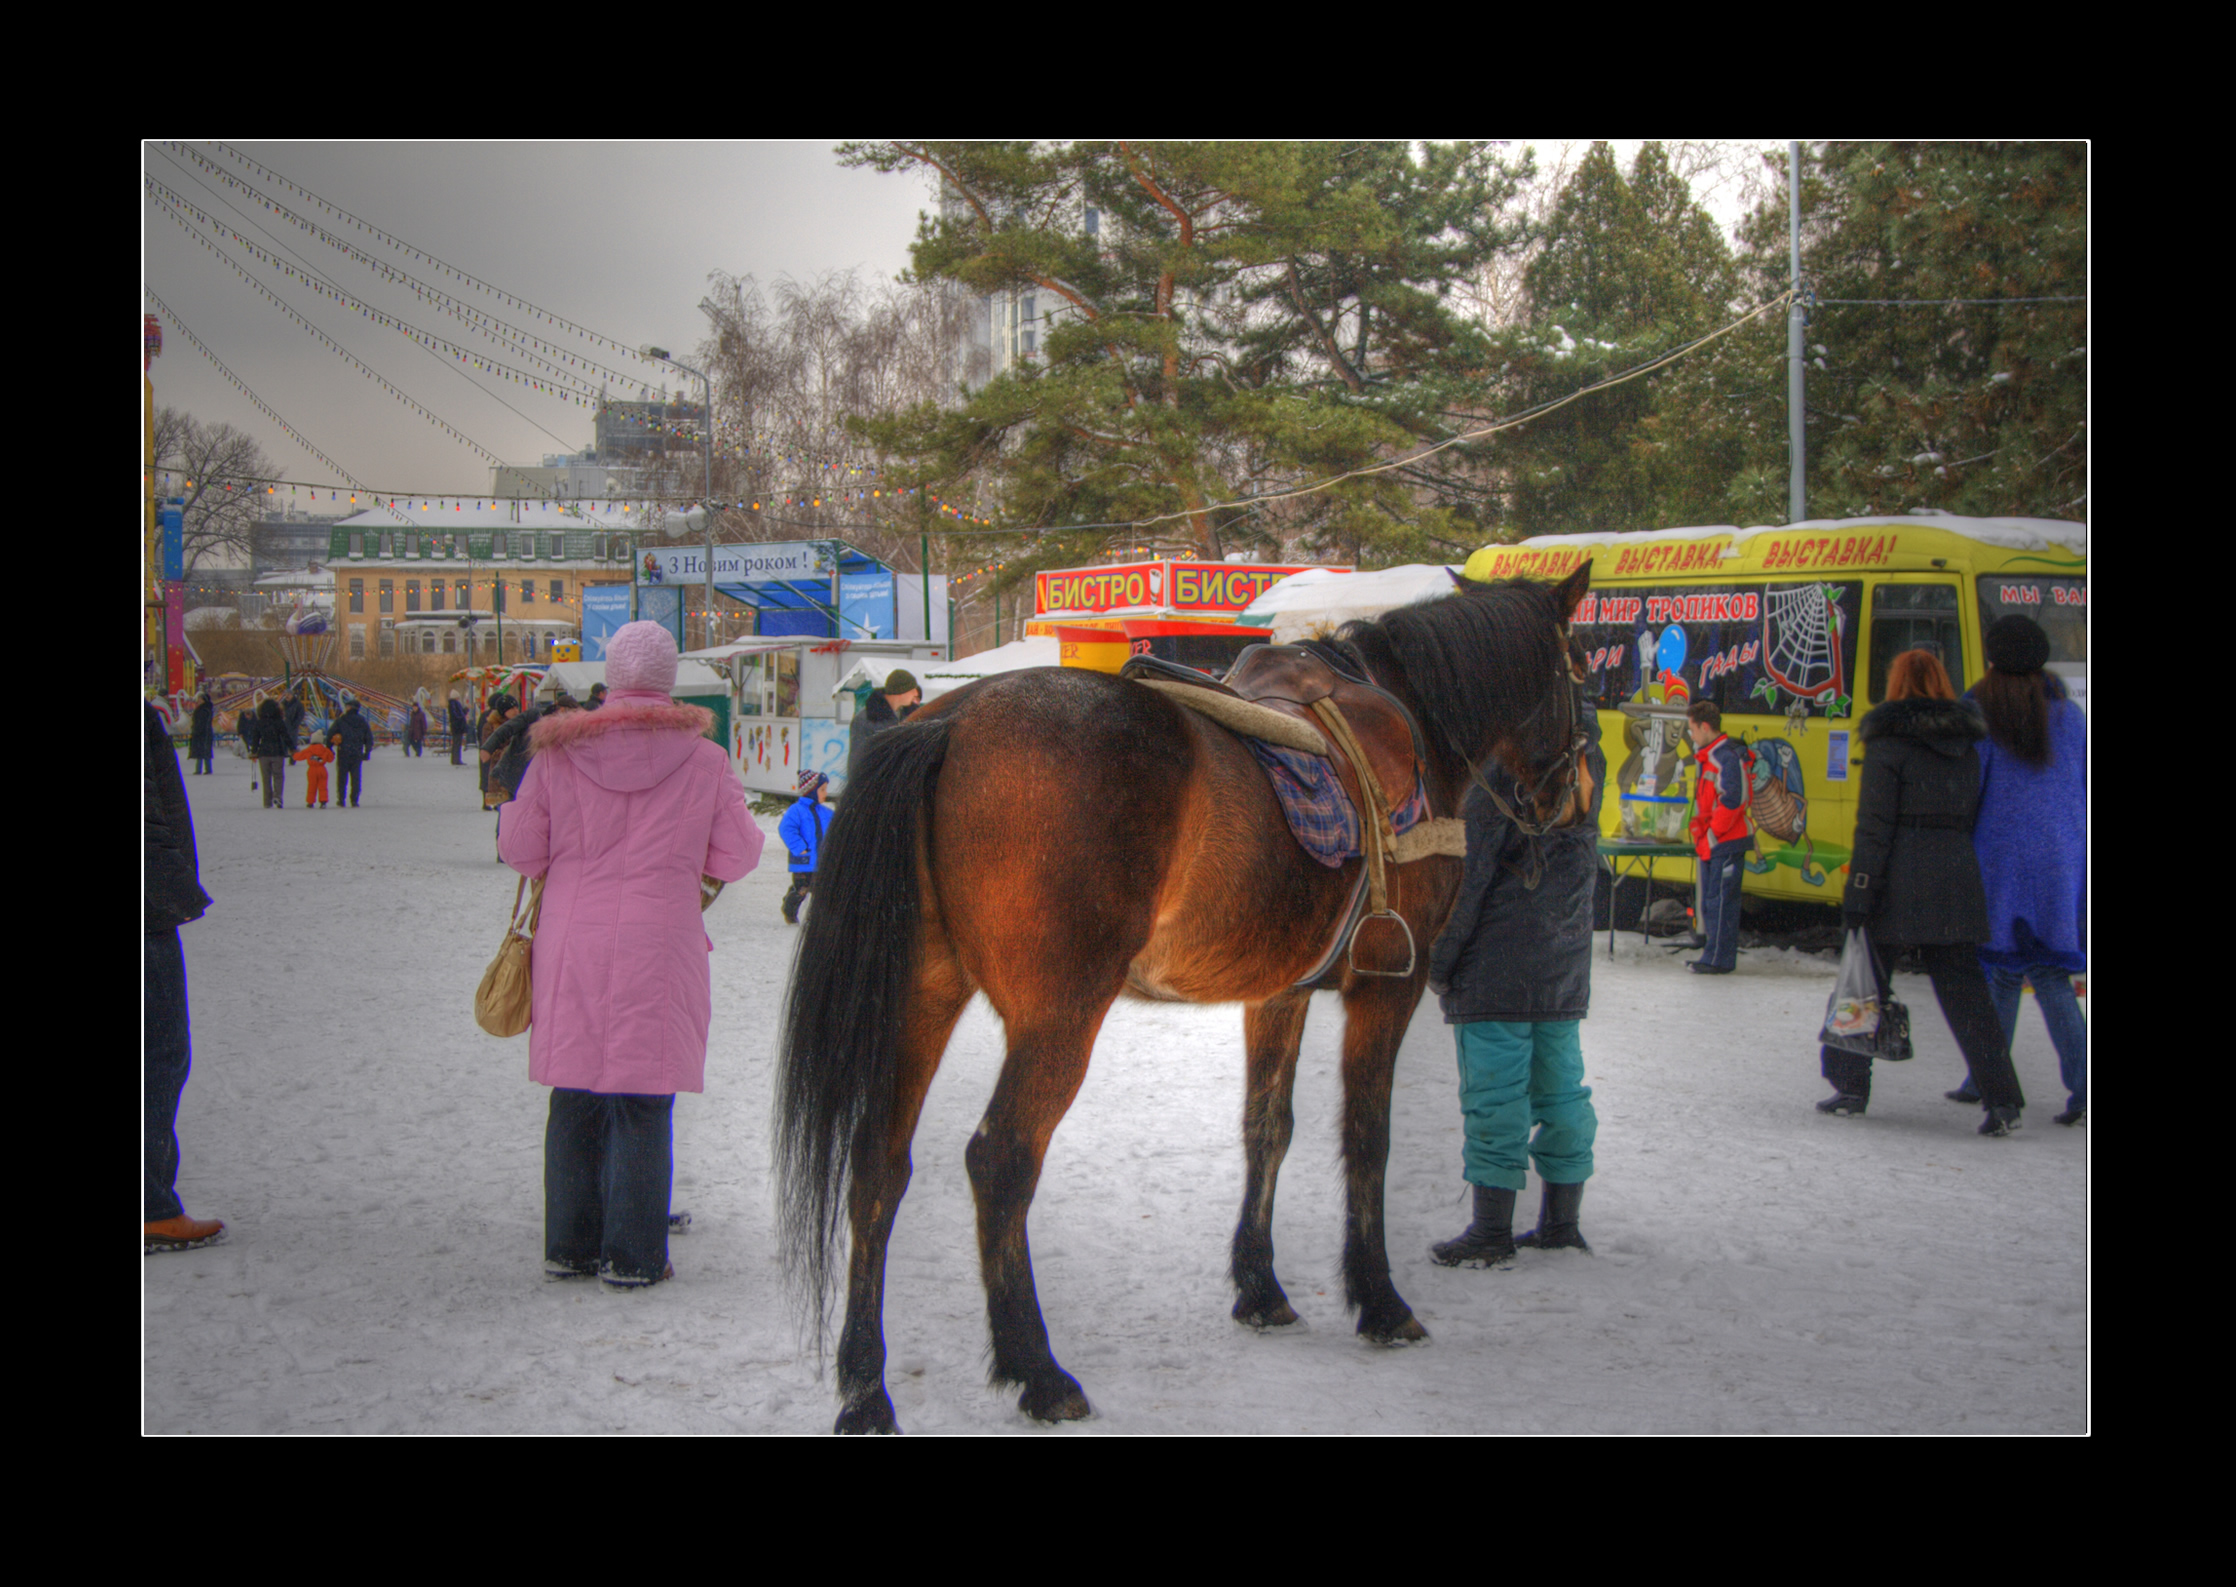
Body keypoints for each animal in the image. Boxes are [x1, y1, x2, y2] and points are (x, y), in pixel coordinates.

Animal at [778, 565, 1600, 1439]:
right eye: (1581, 676)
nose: (1580, 795)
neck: (1406, 714)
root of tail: (954, 721)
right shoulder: (1388, 987)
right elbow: (1367, 1138)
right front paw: (1378, 1299)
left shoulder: (1278, 995)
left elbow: (1267, 1128)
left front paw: (1260, 1286)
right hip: (1058, 1016)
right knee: (1000, 1159)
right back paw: (1038, 1370)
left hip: (922, 994)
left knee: (878, 1163)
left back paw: (866, 1387)